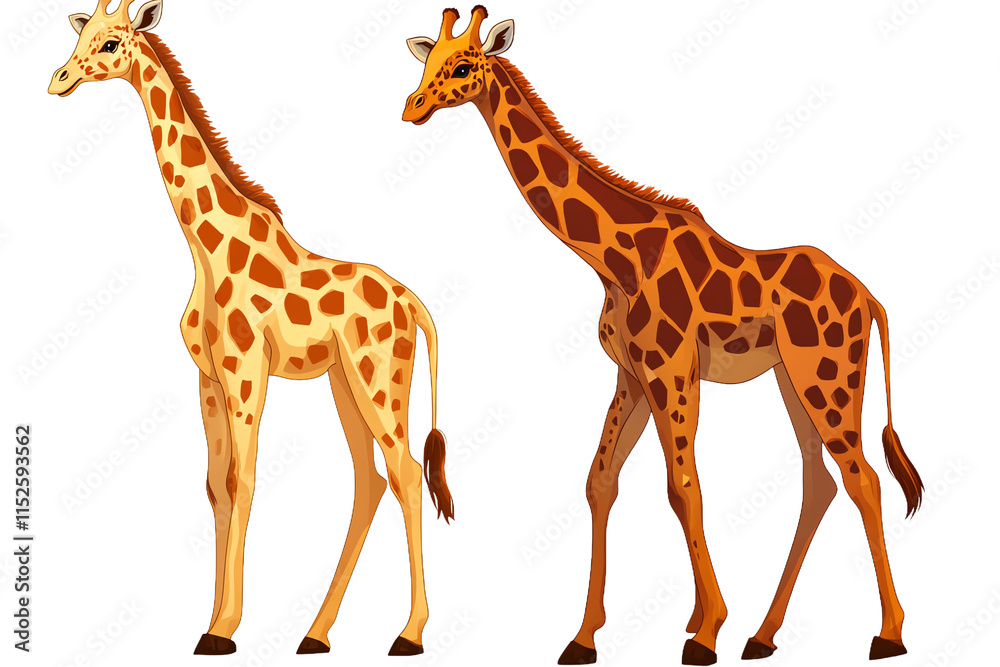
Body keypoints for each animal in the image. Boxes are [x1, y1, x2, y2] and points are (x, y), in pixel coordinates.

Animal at [49, 0, 454, 656]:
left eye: (110, 44)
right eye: (81, 36)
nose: (57, 79)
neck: (205, 247)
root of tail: (413, 303)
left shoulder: (246, 370)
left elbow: (244, 481)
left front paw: (224, 629)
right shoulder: (208, 376)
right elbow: (216, 485)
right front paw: (210, 620)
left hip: (381, 379)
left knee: (407, 476)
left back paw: (409, 634)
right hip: (345, 382)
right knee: (368, 481)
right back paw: (316, 634)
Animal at [403, 7, 923, 665]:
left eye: (463, 65)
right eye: (427, 62)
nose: (413, 106)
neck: (613, 261)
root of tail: (871, 300)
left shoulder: (670, 367)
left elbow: (683, 488)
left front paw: (705, 632)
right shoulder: (631, 372)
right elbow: (600, 482)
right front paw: (587, 636)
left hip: (827, 375)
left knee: (864, 480)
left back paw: (888, 633)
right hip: (793, 377)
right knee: (820, 483)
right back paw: (763, 635)